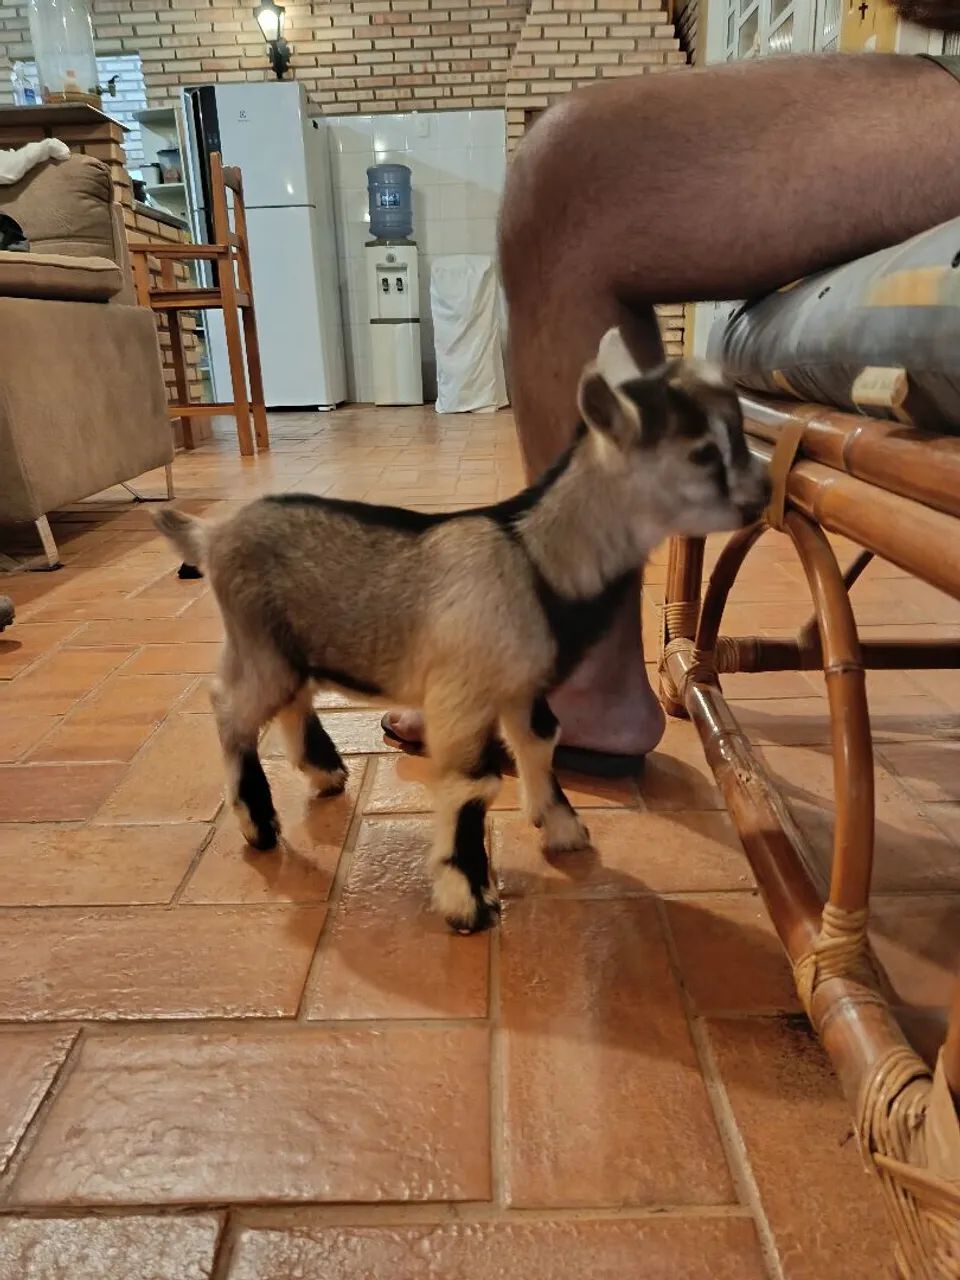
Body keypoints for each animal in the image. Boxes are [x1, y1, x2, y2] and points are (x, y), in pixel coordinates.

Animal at [154, 326, 769, 934]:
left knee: (289, 697)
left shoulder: (522, 688)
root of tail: (212, 535)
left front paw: (562, 828)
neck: (534, 557)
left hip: (287, 645)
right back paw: (258, 824)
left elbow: (541, 739)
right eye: (704, 452)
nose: (763, 490)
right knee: (231, 708)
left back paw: (325, 770)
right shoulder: (463, 698)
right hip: (256, 641)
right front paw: (467, 899)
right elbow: (474, 784)